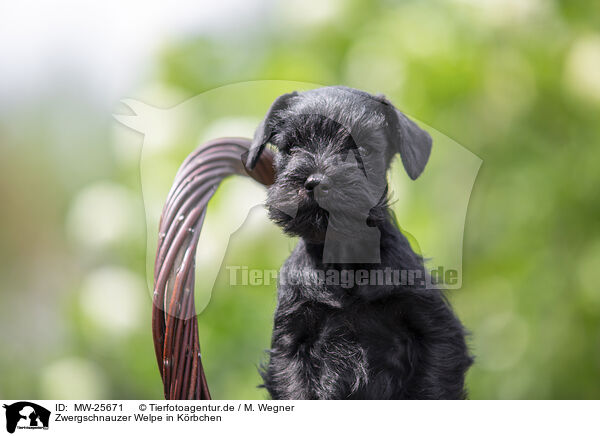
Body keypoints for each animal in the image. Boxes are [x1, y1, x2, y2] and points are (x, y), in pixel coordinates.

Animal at [244, 87, 474, 400]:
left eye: (362, 148)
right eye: (290, 148)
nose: (316, 181)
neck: (345, 261)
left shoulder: (436, 330)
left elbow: (434, 387)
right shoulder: (290, 344)